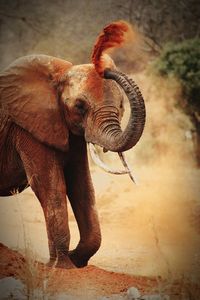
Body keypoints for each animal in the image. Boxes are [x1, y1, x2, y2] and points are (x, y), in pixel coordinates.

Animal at [0, 22, 145, 268]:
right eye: (79, 106)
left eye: (121, 106)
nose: (103, 66)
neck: (59, 74)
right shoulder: (29, 126)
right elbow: (50, 186)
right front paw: (61, 266)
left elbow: (83, 186)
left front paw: (76, 260)